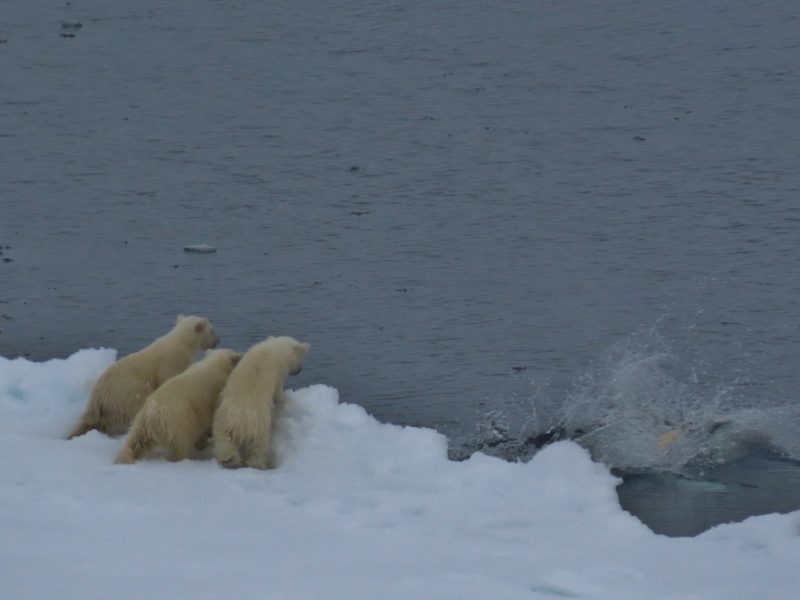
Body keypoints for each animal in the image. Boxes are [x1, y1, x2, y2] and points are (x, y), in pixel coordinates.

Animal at [67, 314, 219, 440]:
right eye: (212, 330)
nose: (218, 341)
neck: (180, 344)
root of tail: (98, 398)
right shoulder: (169, 364)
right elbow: (167, 380)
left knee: (93, 423)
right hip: (128, 393)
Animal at [114, 346, 242, 464]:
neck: (214, 365)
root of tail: (154, 416)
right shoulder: (212, 397)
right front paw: (205, 440)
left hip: (141, 421)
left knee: (136, 441)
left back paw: (123, 458)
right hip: (179, 423)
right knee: (182, 446)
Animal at [211, 338, 310, 468]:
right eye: (301, 356)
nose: (300, 369)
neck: (271, 347)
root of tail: (240, 424)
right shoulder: (278, 374)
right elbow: (277, 393)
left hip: (222, 422)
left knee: (224, 442)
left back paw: (229, 460)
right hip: (258, 428)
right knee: (258, 448)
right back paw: (257, 465)